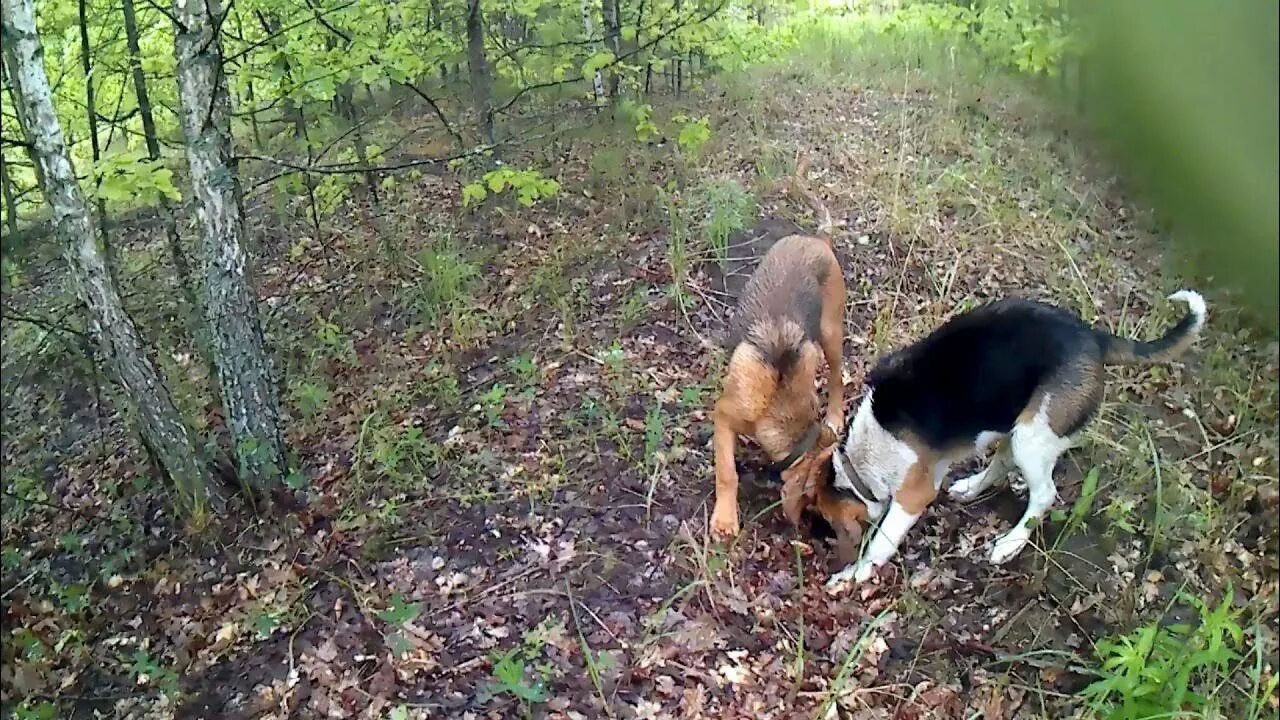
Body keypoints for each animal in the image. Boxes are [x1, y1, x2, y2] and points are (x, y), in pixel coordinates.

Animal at [711, 154, 870, 540]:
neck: (777, 399)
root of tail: (817, 240)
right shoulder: (723, 416)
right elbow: (727, 472)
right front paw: (725, 519)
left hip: (829, 332)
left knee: (837, 378)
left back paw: (834, 415)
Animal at [824, 288, 1203, 586]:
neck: (865, 451)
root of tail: (1094, 337)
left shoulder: (913, 495)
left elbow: (880, 543)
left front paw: (854, 573)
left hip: (1033, 437)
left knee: (1044, 495)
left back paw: (1012, 542)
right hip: (1016, 426)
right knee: (1002, 462)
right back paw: (972, 487)